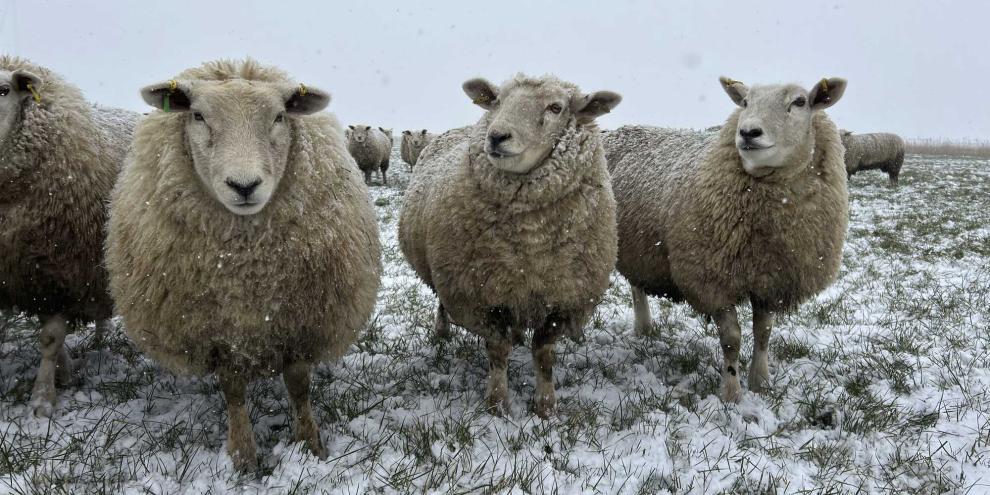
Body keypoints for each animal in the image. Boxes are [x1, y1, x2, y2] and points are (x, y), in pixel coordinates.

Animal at [0, 56, 138, 417]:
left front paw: (42, 400)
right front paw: (65, 373)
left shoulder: (66, 268)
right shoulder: (27, 273)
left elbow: (50, 338)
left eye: (4, 90)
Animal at [106, 59, 382, 471]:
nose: (244, 185)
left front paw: (310, 444)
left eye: (280, 116)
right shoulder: (219, 333)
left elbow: (298, 384)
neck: (248, 270)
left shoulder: (300, 323)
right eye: (198, 115)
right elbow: (233, 390)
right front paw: (243, 456)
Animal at [398, 74, 621, 418]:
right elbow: (497, 350)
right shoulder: (479, 294)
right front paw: (497, 403)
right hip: (447, 274)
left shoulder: (563, 298)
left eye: (556, 107)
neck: (532, 238)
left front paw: (545, 406)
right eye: (499, 101)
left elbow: (543, 353)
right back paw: (442, 331)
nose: (496, 136)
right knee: (441, 303)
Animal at [604, 76, 849, 403]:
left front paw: (761, 382)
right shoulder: (711, 280)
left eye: (800, 102)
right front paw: (730, 393)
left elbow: (763, 332)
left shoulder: (769, 280)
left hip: (639, 244)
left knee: (636, 285)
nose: (748, 132)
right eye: (744, 102)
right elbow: (732, 339)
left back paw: (644, 328)